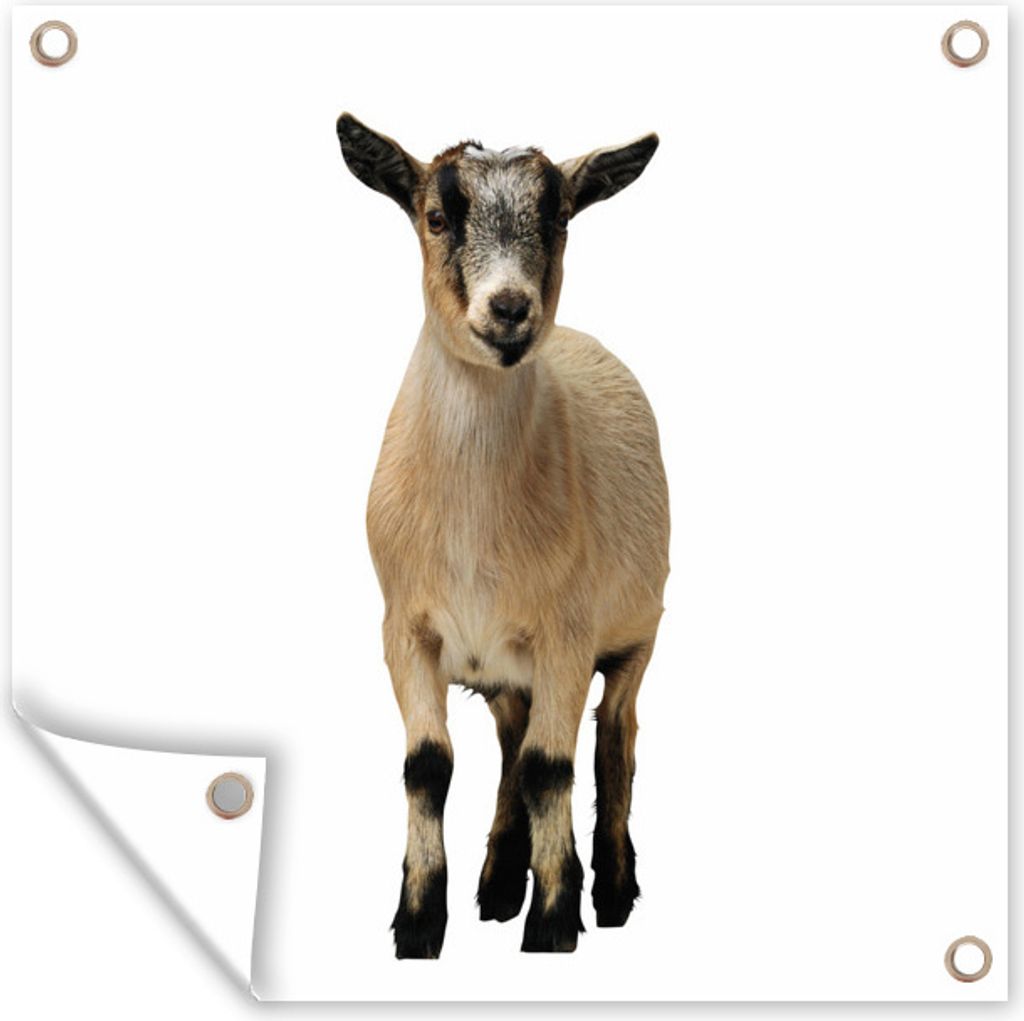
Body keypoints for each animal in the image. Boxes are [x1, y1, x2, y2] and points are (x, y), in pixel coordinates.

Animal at [335, 113, 670, 958]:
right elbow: (429, 766)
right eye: (436, 217)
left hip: (635, 636)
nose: (512, 309)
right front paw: (421, 922)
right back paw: (495, 883)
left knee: (614, 739)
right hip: (505, 671)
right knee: (514, 748)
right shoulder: (406, 631)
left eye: (560, 219)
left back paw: (612, 889)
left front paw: (552, 925)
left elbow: (555, 768)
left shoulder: (566, 635)